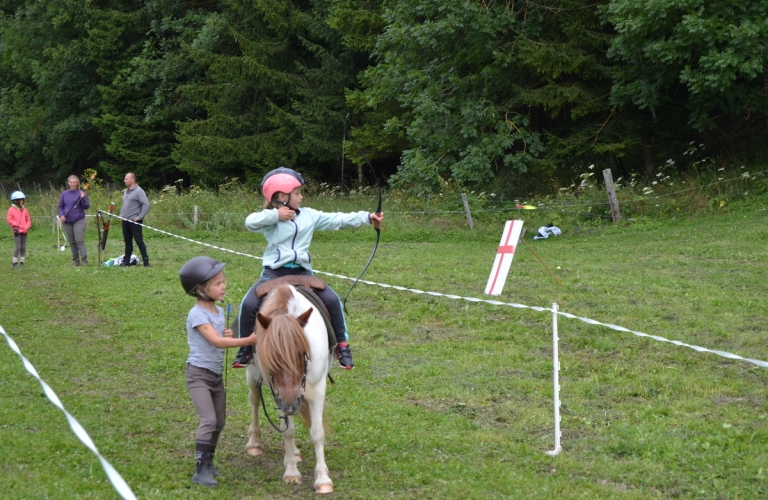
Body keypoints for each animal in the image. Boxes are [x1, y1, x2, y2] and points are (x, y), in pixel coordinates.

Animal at [243, 284, 332, 494]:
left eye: (302, 354)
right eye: (271, 359)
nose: (291, 405)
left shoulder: (318, 388)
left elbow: (317, 433)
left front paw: (323, 479)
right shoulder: (281, 396)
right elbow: (288, 431)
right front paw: (292, 472)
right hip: (252, 376)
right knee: (254, 400)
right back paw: (254, 443)